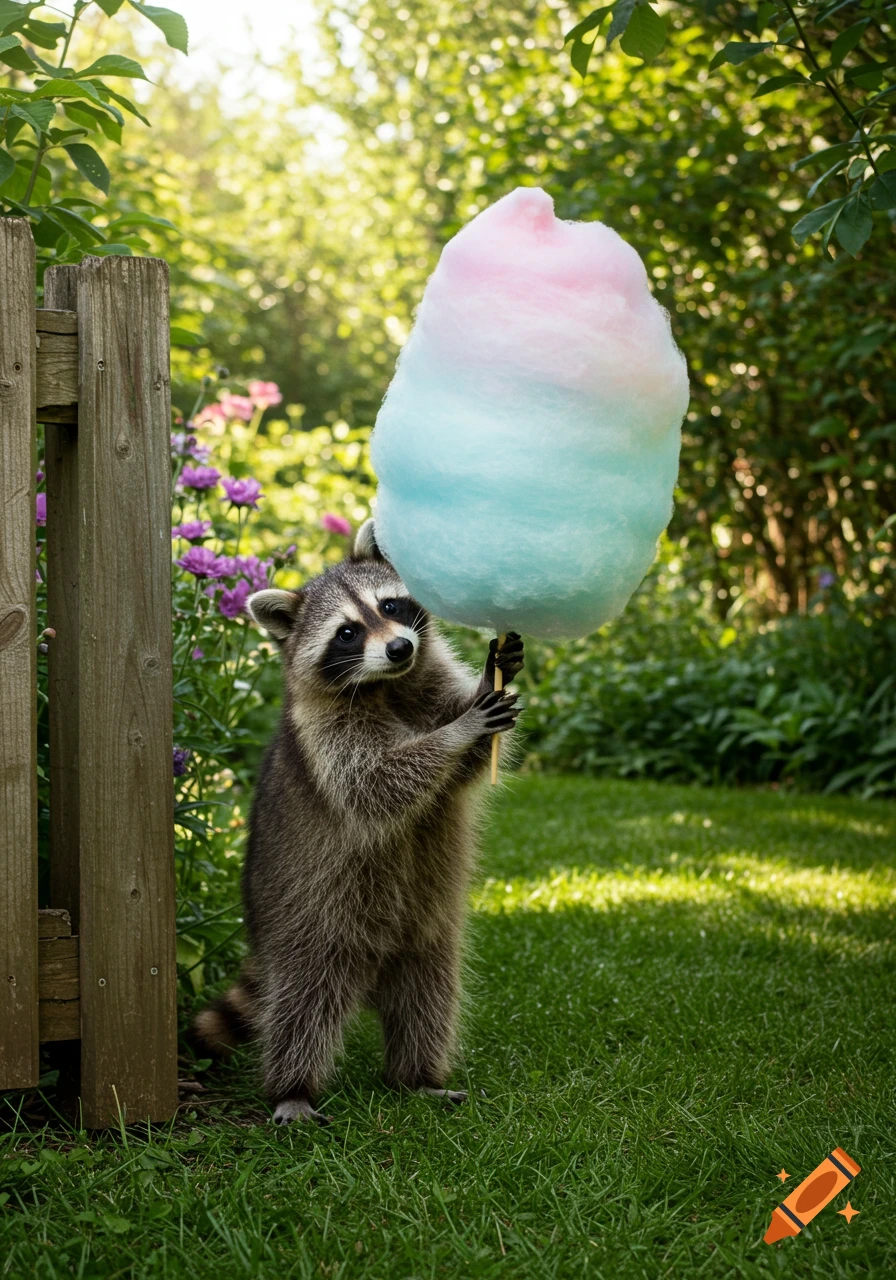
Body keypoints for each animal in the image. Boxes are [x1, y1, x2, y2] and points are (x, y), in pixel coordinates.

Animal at [192, 520, 523, 1124]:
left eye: (390, 605)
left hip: (427, 936)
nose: (399, 646)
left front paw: (496, 674)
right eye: (346, 633)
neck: (387, 683)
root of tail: (372, 969)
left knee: (429, 997)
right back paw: (293, 1086)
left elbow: (461, 769)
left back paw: (415, 1077)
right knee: (301, 1007)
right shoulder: (325, 734)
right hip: (307, 925)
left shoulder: (428, 676)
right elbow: (375, 784)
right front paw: (457, 732)